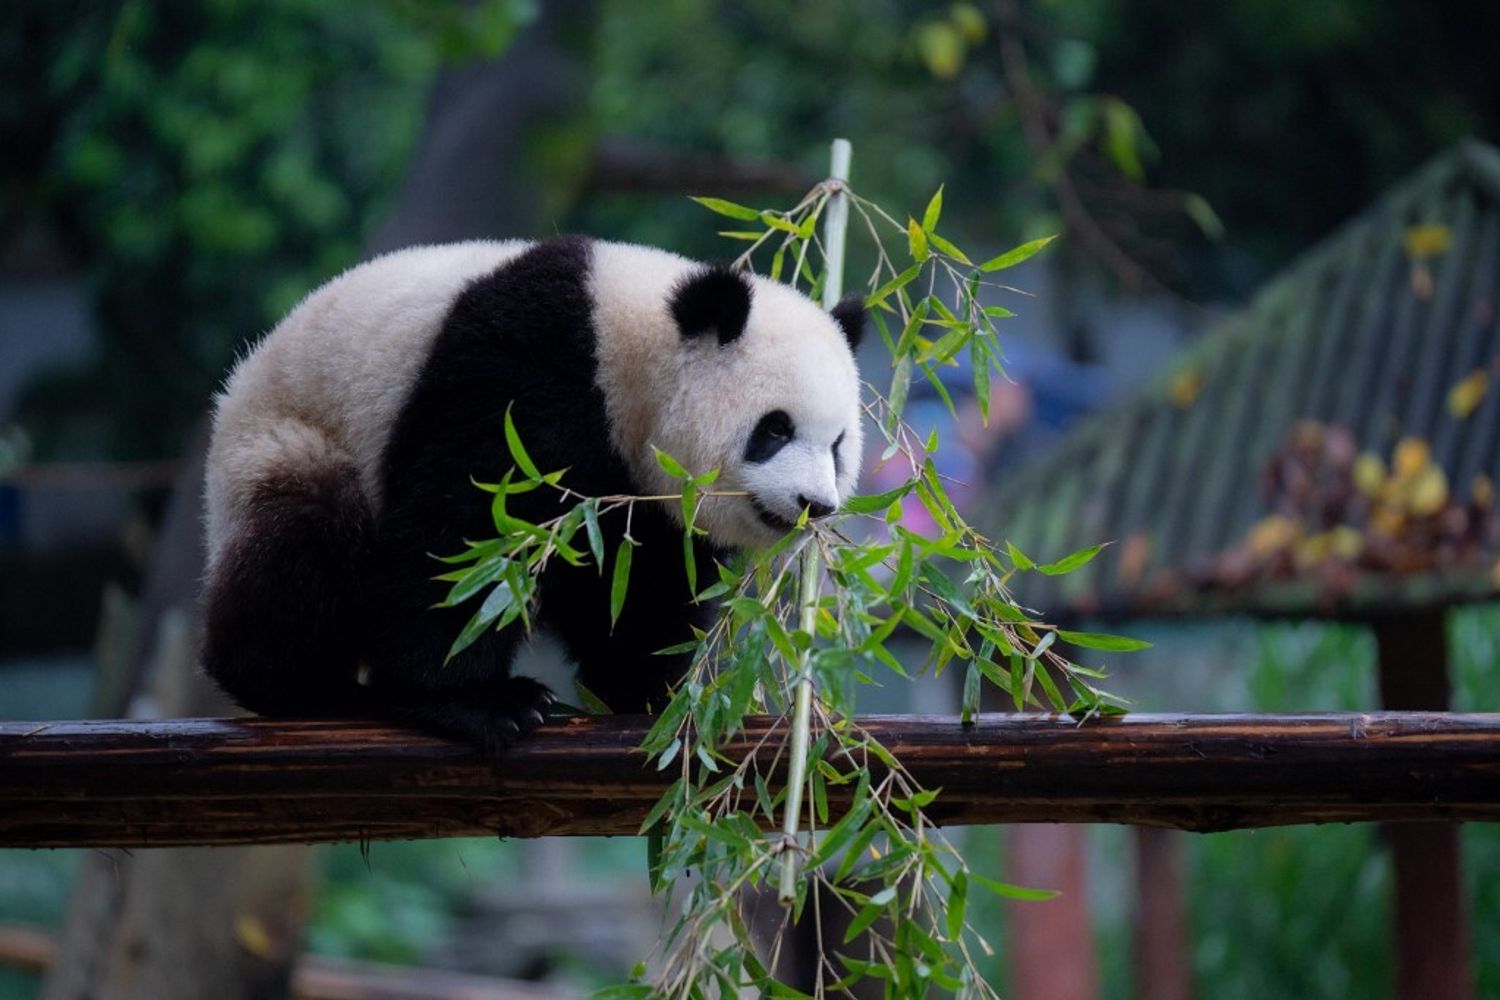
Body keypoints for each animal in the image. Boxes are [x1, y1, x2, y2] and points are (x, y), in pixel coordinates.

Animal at [202, 236, 864, 753]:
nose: (815, 504)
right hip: (286, 444)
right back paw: (305, 685)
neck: (628, 349)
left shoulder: (639, 497)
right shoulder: (526, 366)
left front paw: (653, 689)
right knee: (307, 542)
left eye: (837, 445)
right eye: (774, 429)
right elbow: (464, 532)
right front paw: (481, 702)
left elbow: (643, 580)